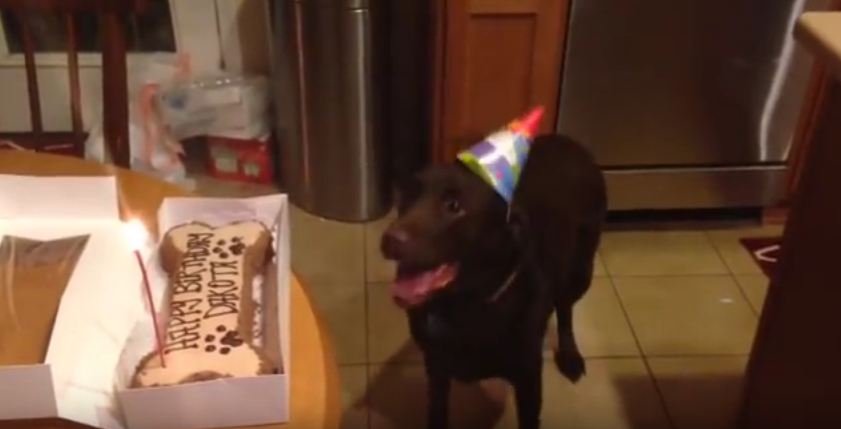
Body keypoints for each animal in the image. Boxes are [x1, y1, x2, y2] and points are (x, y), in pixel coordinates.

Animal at [378, 134, 604, 428]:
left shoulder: (529, 380)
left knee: (565, 309)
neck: (465, 307)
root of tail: (566, 140)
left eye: (454, 206)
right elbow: (437, 413)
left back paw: (569, 355)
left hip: (581, 270)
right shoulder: (436, 370)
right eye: (408, 196)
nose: (389, 240)